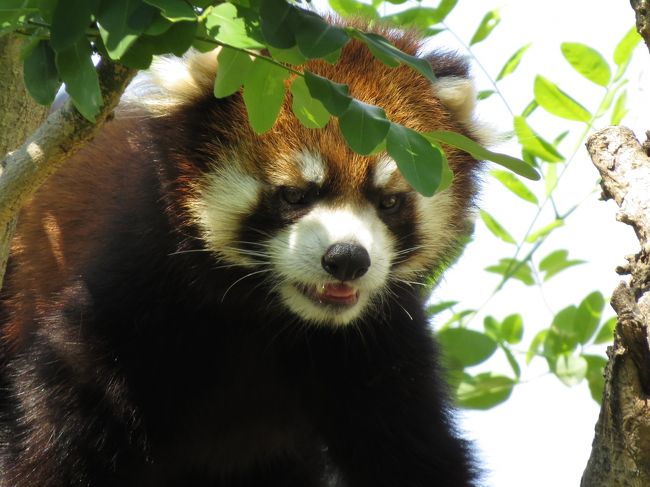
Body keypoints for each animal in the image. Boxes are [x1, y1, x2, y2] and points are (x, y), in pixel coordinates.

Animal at [0, 21, 484, 486]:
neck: (266, 319)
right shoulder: (126, 300)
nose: (347, 258)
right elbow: (54, 437)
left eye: (389, 202)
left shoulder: (377, 342)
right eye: (294, 195)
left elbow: (417, 454)